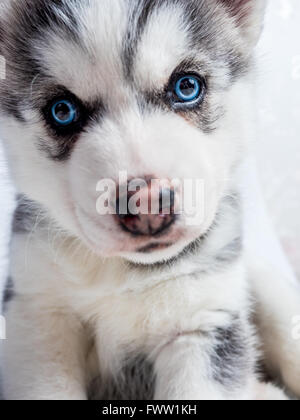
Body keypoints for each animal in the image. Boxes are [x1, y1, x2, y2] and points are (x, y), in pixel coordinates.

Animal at [0, 0, 298, 400]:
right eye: (62, 111)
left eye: (187, 86)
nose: (146, 205)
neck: (126, 274)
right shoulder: (38, 315)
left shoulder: (204, 320)